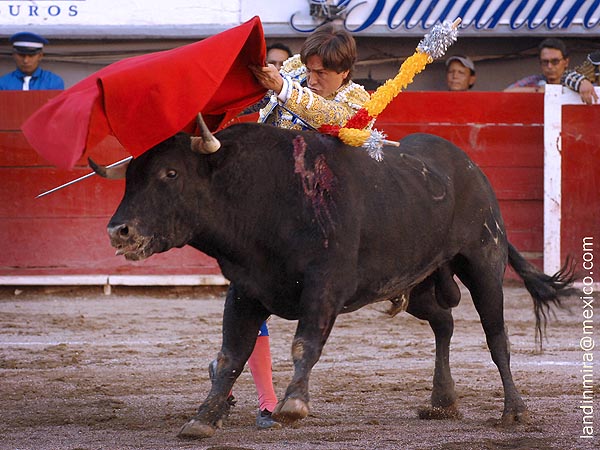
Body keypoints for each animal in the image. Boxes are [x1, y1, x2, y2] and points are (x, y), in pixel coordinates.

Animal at [90, 114, 574, 439]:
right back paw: (442, 401)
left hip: (483, 260)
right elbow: (231, 354)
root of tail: (471, 168)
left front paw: (293, 404)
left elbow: (304, 343)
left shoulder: (325, 286)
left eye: (170, 173)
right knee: (444, 322)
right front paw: (204, 417)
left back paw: (514, 411)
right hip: (415, 280)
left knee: (496, 335)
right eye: (130, 178)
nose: (118, 230)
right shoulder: (246, 290)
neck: (263, 194)